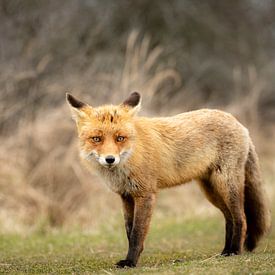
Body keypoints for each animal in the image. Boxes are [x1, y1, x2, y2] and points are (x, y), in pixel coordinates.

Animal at [66, 91, 272, 268]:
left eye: (120, 138)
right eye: (97, 139)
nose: (110, 159)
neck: (132, 155)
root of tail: (238, 122)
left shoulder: (145, 194)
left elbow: (137, 233)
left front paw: (130, 262)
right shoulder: (126, 196)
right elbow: (129, 231)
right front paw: (131, 259)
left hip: (226, 185)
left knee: (241, 218)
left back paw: (235, 251)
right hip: (211, 191)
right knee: (229, 218)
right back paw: (225, 251)